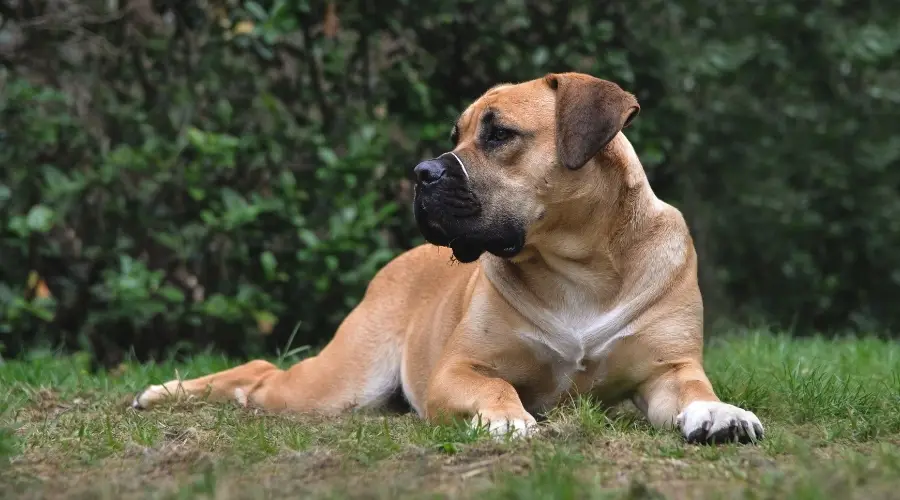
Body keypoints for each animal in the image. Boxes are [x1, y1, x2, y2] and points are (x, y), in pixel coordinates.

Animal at [135, 72, 768, 444]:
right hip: (342, 382)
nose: (422, 173)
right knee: (261, 374)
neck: (579, 265)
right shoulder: (459, 371)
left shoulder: (669, 370)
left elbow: (694, 391)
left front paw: (721, 414)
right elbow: (496, 388)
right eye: (455, 134)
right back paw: (162, 393)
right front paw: (508, 417)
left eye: (499, 134)